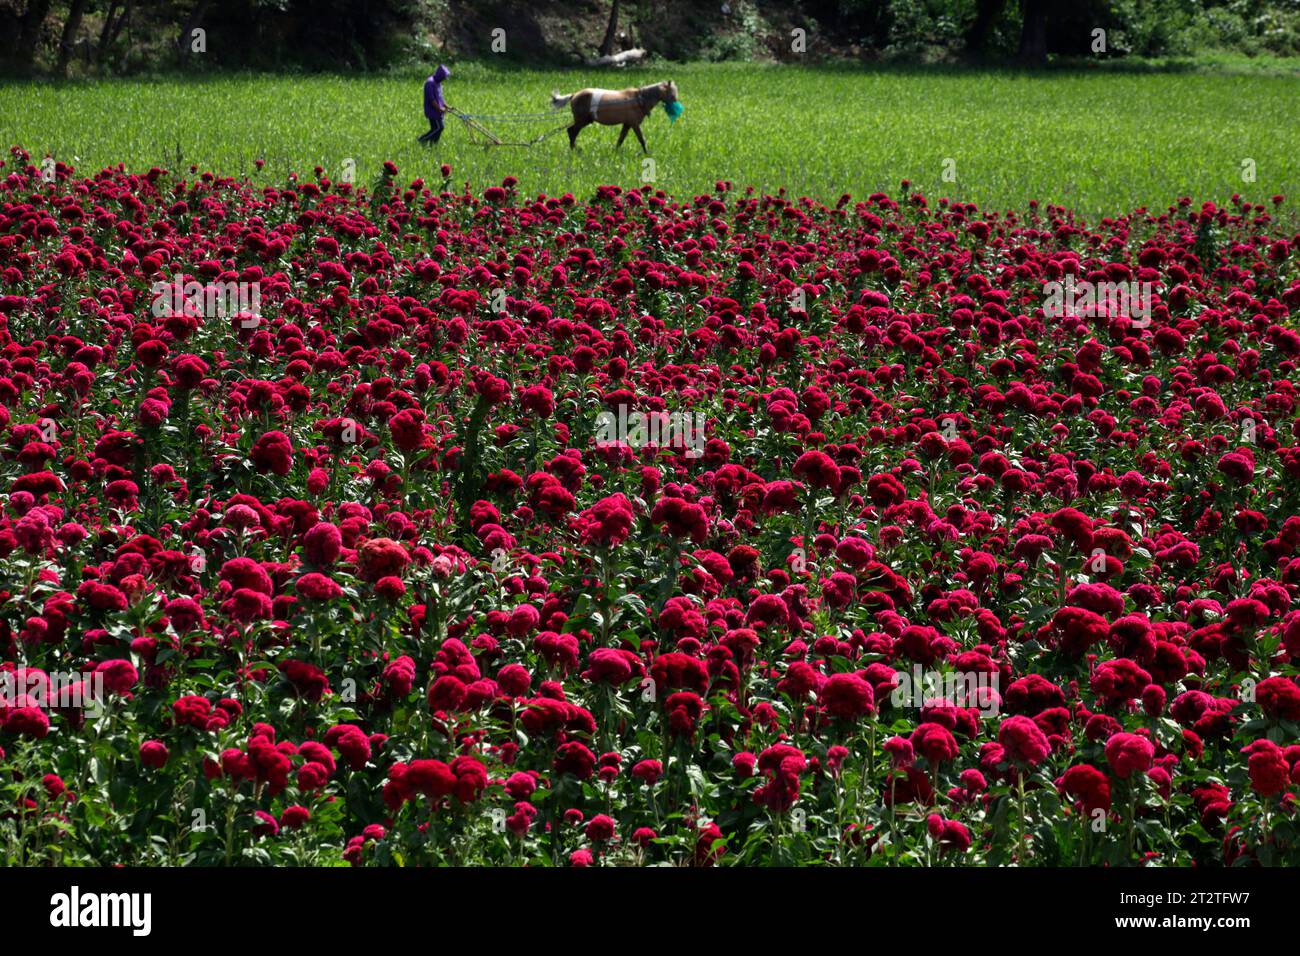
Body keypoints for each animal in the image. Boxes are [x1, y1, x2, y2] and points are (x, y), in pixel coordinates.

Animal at [548, 79, 681, 153]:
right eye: (672, 93)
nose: (677, 104)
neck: (639, 99)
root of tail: (574, 94)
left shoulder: (627, 124)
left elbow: (620, 139)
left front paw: (615, 152)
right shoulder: (634, 124)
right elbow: (641, 139)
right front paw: (647, 153)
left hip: (585, 120)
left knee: (572, 131)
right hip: (582, 120)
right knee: (572, 131)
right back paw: (574, 150)